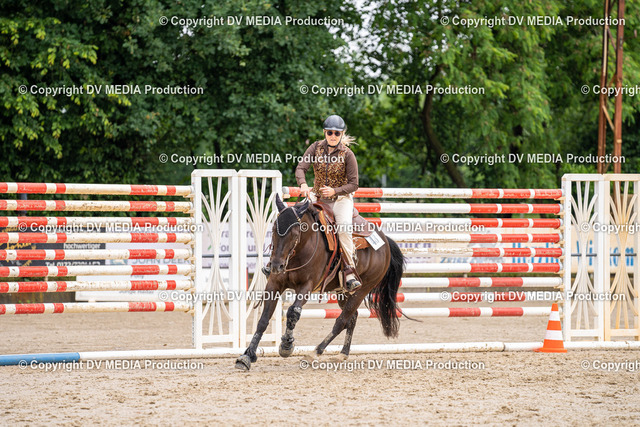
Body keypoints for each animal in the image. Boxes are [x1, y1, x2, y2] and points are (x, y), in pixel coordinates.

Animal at [235, 195, 405, 371]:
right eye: (275, 229)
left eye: (295, 233)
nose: (276, 265)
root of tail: (385, 241)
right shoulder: (274, 284)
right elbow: (264, 318)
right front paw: (247, 356)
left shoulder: (306, 286)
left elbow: (293, 312)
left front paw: (286, 346)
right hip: (343, 292)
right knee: (352, 317)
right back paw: (342, 354)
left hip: (363, 289)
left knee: (341, 321)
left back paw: (314, 353)